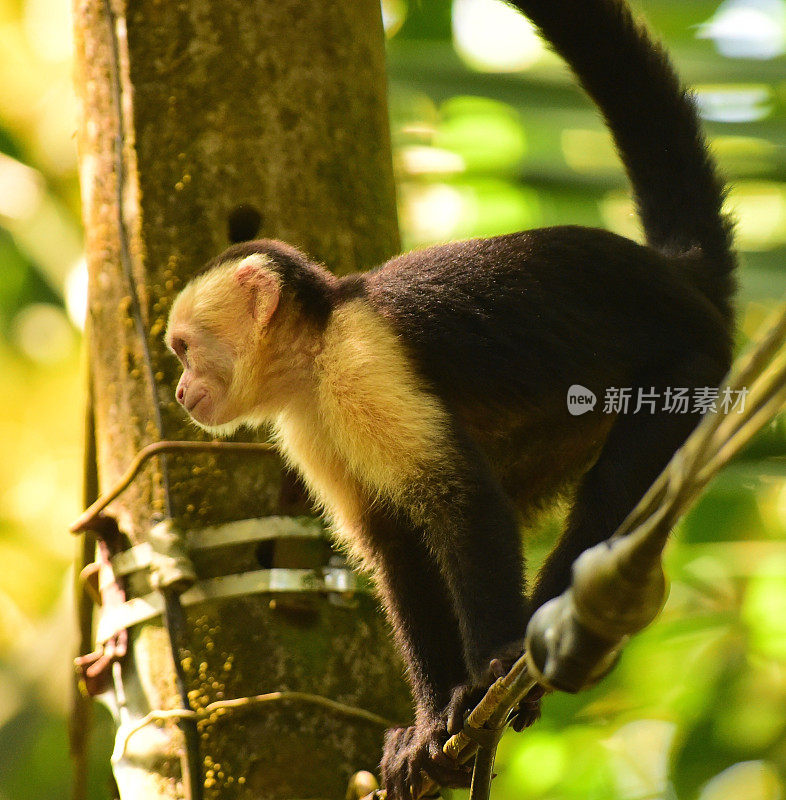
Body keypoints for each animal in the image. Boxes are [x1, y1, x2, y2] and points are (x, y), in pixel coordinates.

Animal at [165, 3, 736, 796]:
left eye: (185, 348)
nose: (180, 389)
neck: (314, 349)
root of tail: (680, 280)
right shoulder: (307, 422)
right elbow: (393, 543)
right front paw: (428, 724)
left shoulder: (362, 362)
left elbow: (455, 500)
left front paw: (485, 670)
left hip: (691, 371)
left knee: (609, 498)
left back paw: (534, 650)